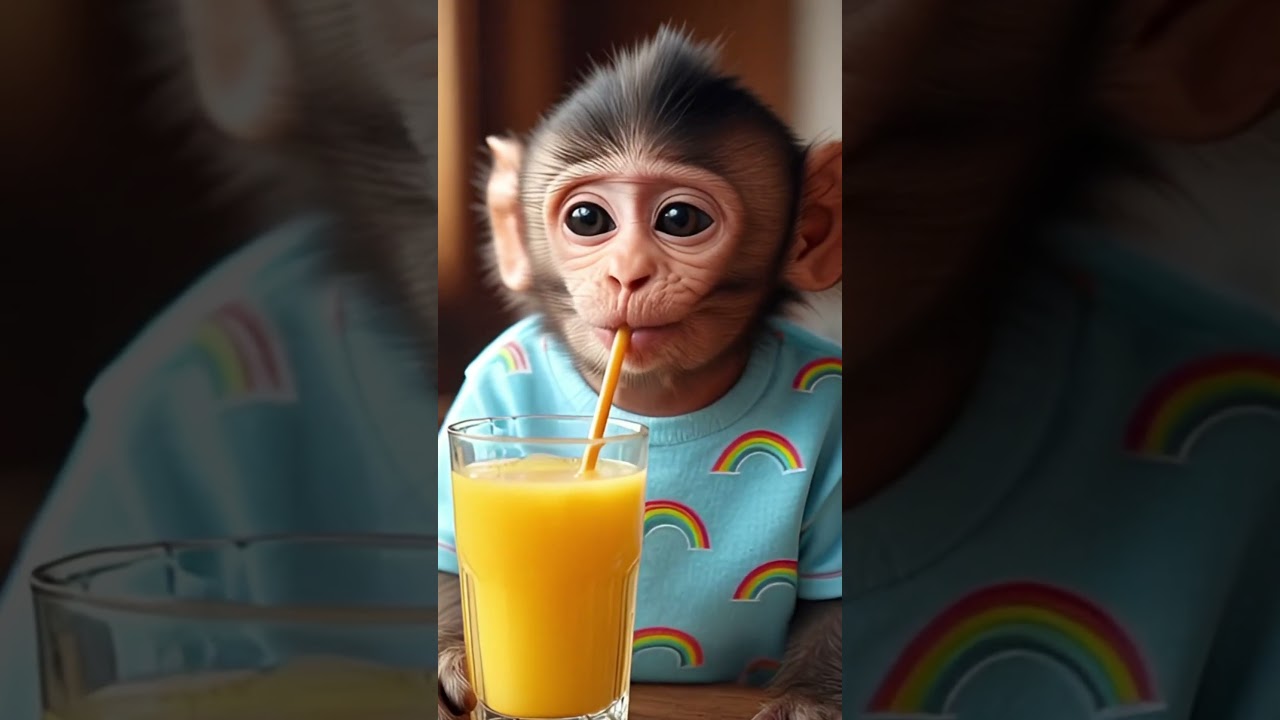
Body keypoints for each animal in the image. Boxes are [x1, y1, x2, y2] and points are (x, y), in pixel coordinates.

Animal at [435, 27, 844, 720]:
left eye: (680, 220)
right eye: (588, 220)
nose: (627, 274)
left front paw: (808, 700)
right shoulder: (480, 384)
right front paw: (454, 664)